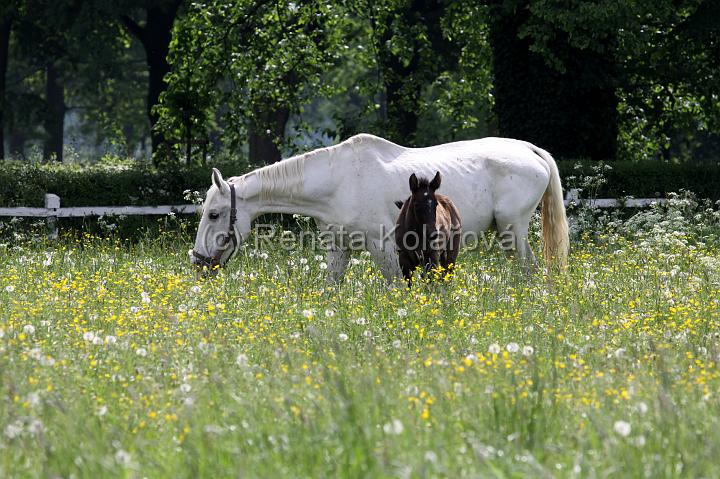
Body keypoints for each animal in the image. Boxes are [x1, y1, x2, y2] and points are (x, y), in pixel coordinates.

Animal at [190, 133, 568, 280]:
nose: (199, 263)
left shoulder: (383, 248)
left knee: (530, 270)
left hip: (512, 231)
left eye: (214, 214)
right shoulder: (339, 248)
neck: (339, 181)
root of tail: (530, 150)